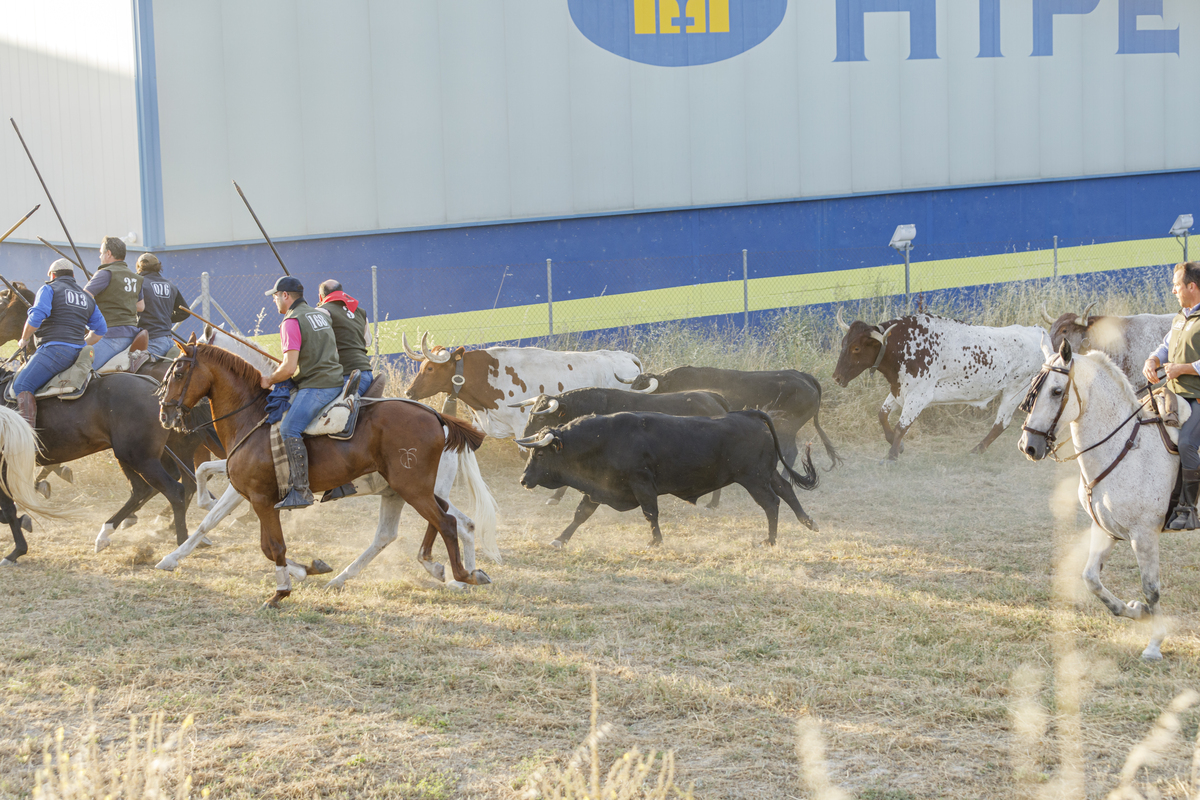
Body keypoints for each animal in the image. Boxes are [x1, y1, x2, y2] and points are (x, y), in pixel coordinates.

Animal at [156, 323, 501, 587]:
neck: (255, 413)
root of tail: (438, 418)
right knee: (416, 530)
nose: (165, 414)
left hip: (415, 488)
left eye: (178, 374)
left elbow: (223, 521)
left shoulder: (256, 493)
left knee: (449, 523)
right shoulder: (247, 489)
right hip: (403, 491)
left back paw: (459, 575)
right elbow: (208, 495)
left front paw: (173, 555)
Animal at [520, 412, 820, 551]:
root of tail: (747, 414)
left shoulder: (641, 483)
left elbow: (650, 512)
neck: (604, 439)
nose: (523, 479)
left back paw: (770, 540)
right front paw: (560, 540)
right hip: (767, 473)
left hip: (754, 478)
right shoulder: (599, 487)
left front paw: (655, 541)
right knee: (787, 490)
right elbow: (581, 514)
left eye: (540, 453)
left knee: (771, 503)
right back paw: (808, 522)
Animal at [1017, 340, 1176, 662]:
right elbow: (1090, 578)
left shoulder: (1144, 535)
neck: (1127, 447)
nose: (1029, 446)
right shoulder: (1105, 529)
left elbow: (1151, 587)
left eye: (1056, 391)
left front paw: (1154, 643)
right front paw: (1135, 611)